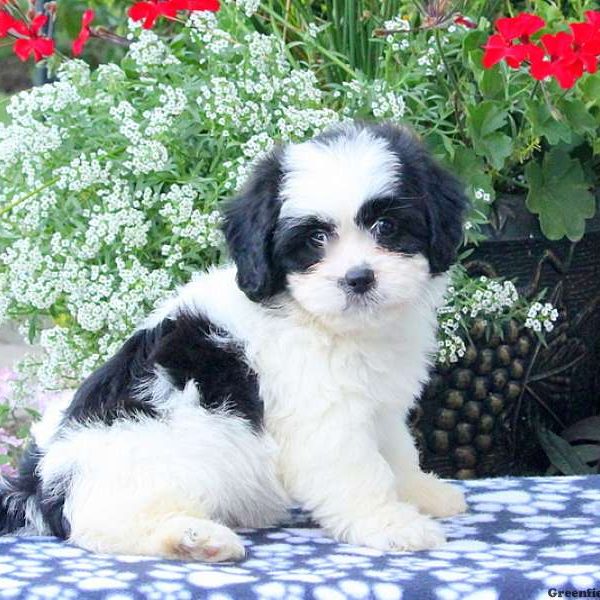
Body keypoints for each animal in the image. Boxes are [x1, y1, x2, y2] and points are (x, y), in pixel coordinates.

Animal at [0, 120, 468, 564]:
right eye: (315, 239)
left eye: (386, 226)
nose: (358, 278)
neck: (318, 319)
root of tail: (39, 483)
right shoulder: (320, 415)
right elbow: (357, 469)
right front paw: (390, 523)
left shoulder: (380, 408)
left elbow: (397, 451)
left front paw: (422, 493)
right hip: (149, 461)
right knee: (108, 526)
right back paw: (194, 539)